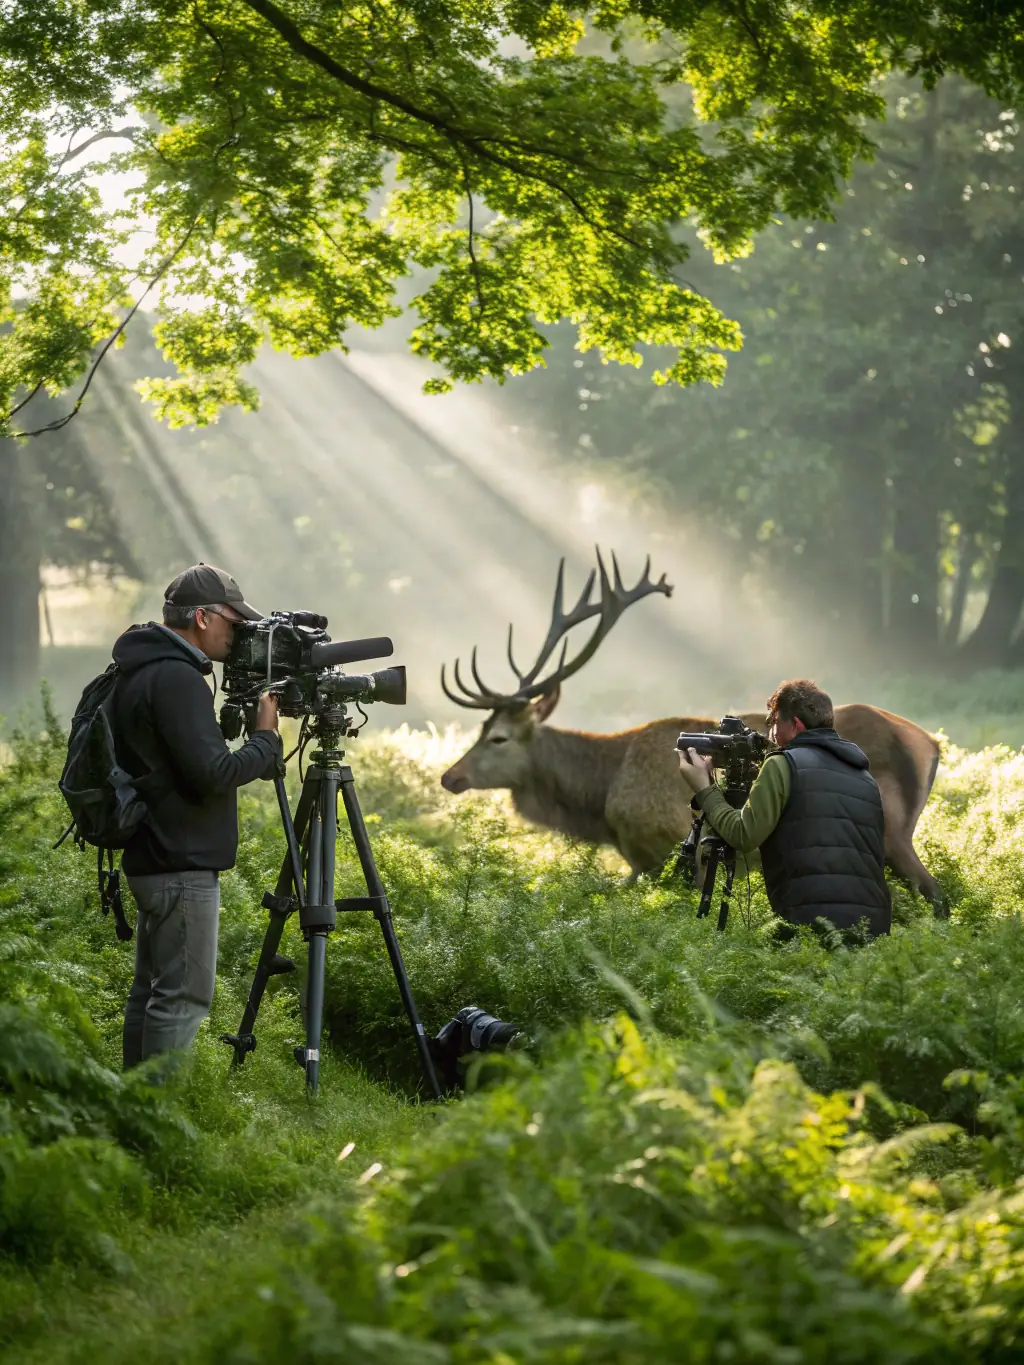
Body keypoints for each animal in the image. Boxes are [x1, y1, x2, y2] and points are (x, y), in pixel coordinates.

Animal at [439, 550, 944, 910]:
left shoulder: (662, 848)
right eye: (482, 728)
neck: (602, 798)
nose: (450, 776)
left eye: (498, 737)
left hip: (893, 835)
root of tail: (929, 744)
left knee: (933, 892)